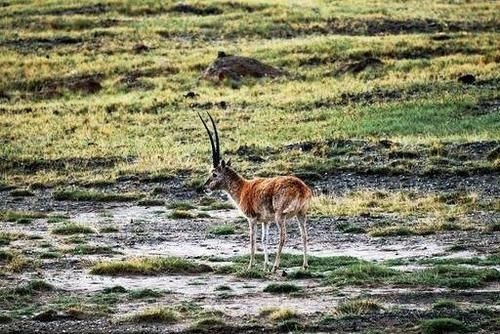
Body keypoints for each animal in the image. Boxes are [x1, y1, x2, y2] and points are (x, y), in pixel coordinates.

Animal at [199, 112, 312, 274]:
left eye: (214, 173)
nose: (205, 187)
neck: (243, 188)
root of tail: (301, 188)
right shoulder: (265, 221)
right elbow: (264, 239)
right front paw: (265, 265)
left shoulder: (251, 219)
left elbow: (252, 240)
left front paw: (250, 266)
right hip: (301, 214)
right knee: (304, 235)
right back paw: (305, 265)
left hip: (281, 217)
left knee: (283, 237)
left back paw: (276, 267)